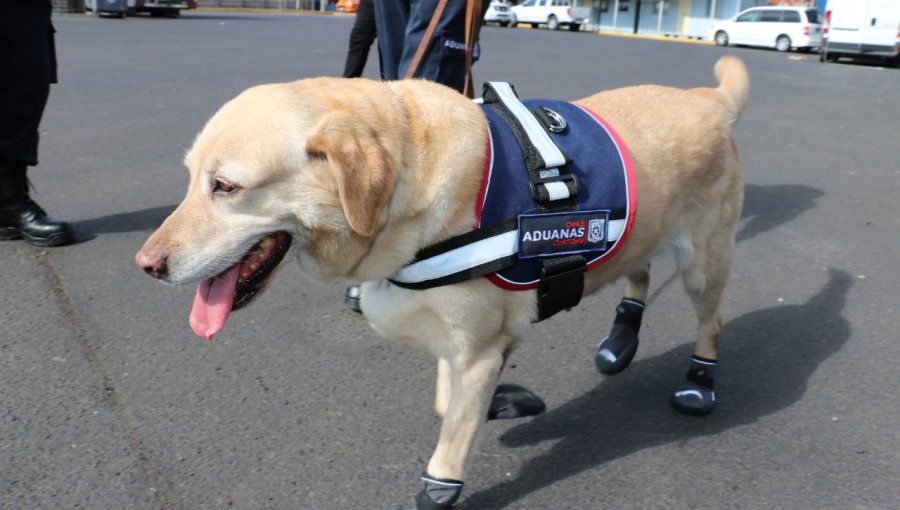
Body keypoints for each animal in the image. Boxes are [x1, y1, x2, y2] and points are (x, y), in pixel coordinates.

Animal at [137, 57, 748, 508]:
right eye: (190, 179)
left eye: (225, 187)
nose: (146, 265)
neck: (407, 183)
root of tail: (709, 98)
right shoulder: (466, 343)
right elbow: (447, 402)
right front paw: (503, 402)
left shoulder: (477, 346)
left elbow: (449, 448)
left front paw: (443, 479)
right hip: (643, 232)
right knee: (638, 271)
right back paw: (621, 340)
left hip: (703, 263)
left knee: (713, 320)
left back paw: (700, 382)